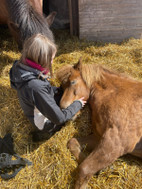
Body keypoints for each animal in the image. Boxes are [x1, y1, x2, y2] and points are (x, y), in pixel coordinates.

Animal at [56, 59, 142, 189]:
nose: (63, 109)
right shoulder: (99, 138)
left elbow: (84, 169)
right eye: (62, 86)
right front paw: (103, 169)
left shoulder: (116, 142)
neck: (115, 94)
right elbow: (73, 143)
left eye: (73, 81)